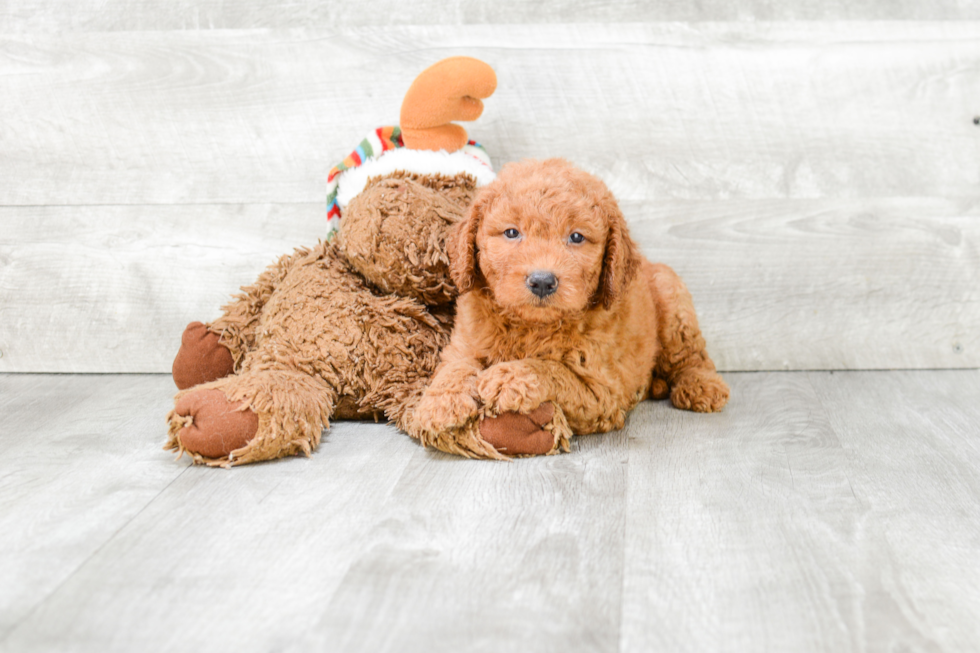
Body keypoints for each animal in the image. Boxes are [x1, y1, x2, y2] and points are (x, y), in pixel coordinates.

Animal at [412, 158, 728, 454]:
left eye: (576, 237)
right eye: (511, 233)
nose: (542, 281)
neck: (532, 325)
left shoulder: (602, 393)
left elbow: (554, 370)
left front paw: (510, 377)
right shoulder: (465, 340)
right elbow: (454, 365)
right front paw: (439, 403)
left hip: (672, 300)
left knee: (692, 356)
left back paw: (702, 386)